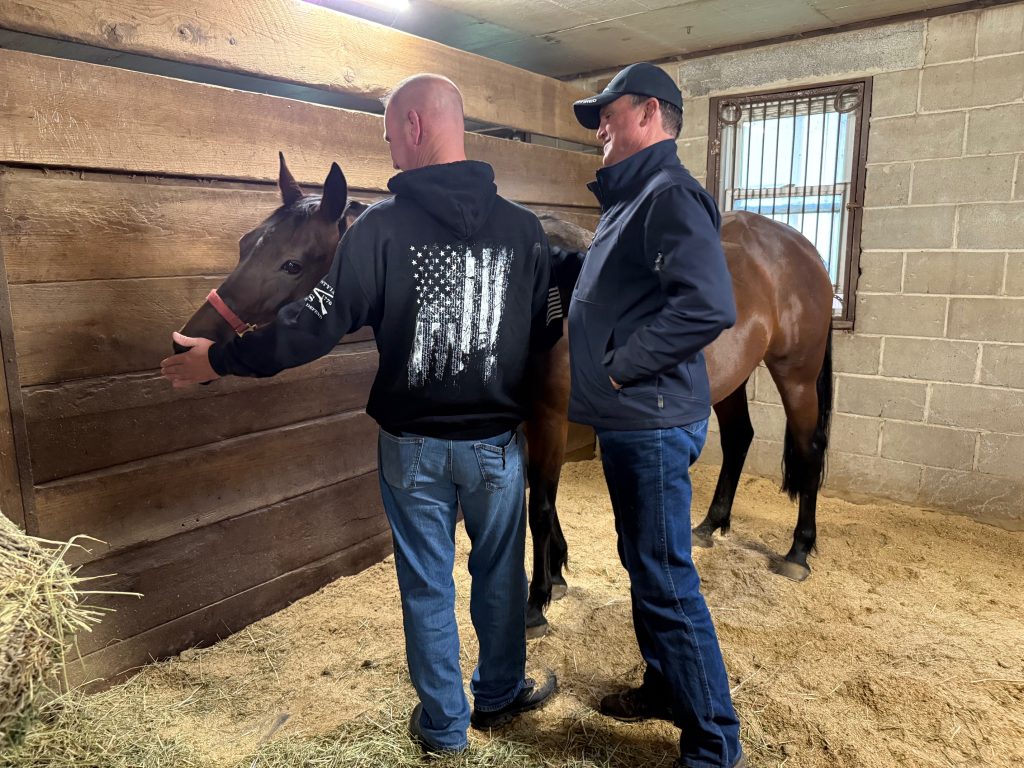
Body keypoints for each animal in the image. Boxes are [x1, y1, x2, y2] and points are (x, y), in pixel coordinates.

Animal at [176, 154, 834, 639]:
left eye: (291, 263)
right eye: (246, 243)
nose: (190, 341)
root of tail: (795, 245)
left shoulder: (548, 419)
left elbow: (539, 506)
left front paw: (537, 601)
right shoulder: (520, 420)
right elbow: (535, 501)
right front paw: (558, 573)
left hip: (795, 373)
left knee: (808, 448)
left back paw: (799, 552)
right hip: (728, 379)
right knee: (741, 437)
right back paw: (711, 524)